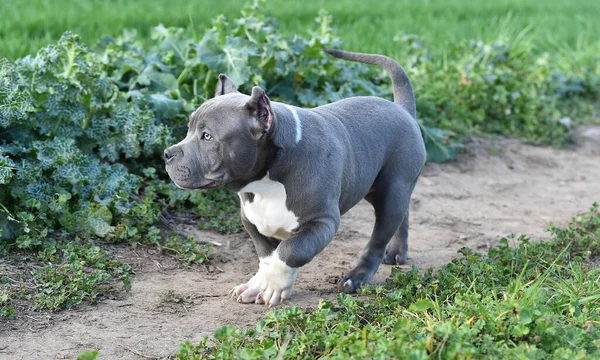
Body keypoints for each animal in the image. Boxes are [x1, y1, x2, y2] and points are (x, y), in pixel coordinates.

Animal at [164, 48, 426, 306]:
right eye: (188, 129)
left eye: (207, 137)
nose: (167, 154)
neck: (266, 181)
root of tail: (402, 110)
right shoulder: (252, 220)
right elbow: (267, 256)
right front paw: (258, 284)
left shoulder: (321, 222)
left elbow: (291, 250)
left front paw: (273, 286)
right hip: (375, 187)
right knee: (402, 215)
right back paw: (397, 251)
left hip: (392, 190)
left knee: (378, 238)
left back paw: (357, 277)